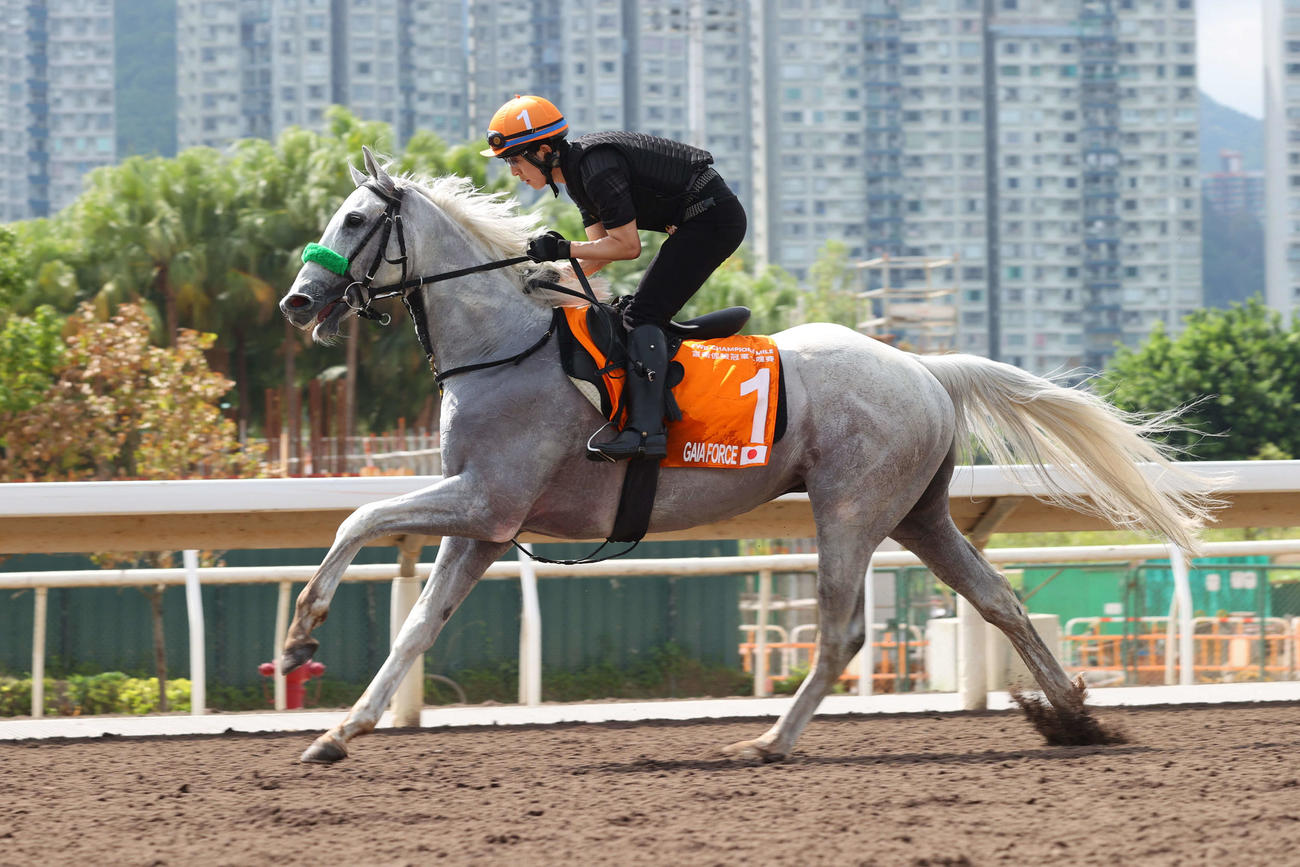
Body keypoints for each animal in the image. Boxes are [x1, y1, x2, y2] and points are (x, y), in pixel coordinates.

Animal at [278, 148, 1218, 764]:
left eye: (355, 220)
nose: (297, 301)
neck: (504, 344)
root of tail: (925, 368)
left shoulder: (488, 499)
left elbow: (359, 515)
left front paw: (300, 636)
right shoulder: (483, 523)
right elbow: (415, 626)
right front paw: (336, 731)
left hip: (850, 509)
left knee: (842, 630)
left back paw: (770, 738)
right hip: (919, 515)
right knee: (1002, 602)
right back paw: (1074, 715)